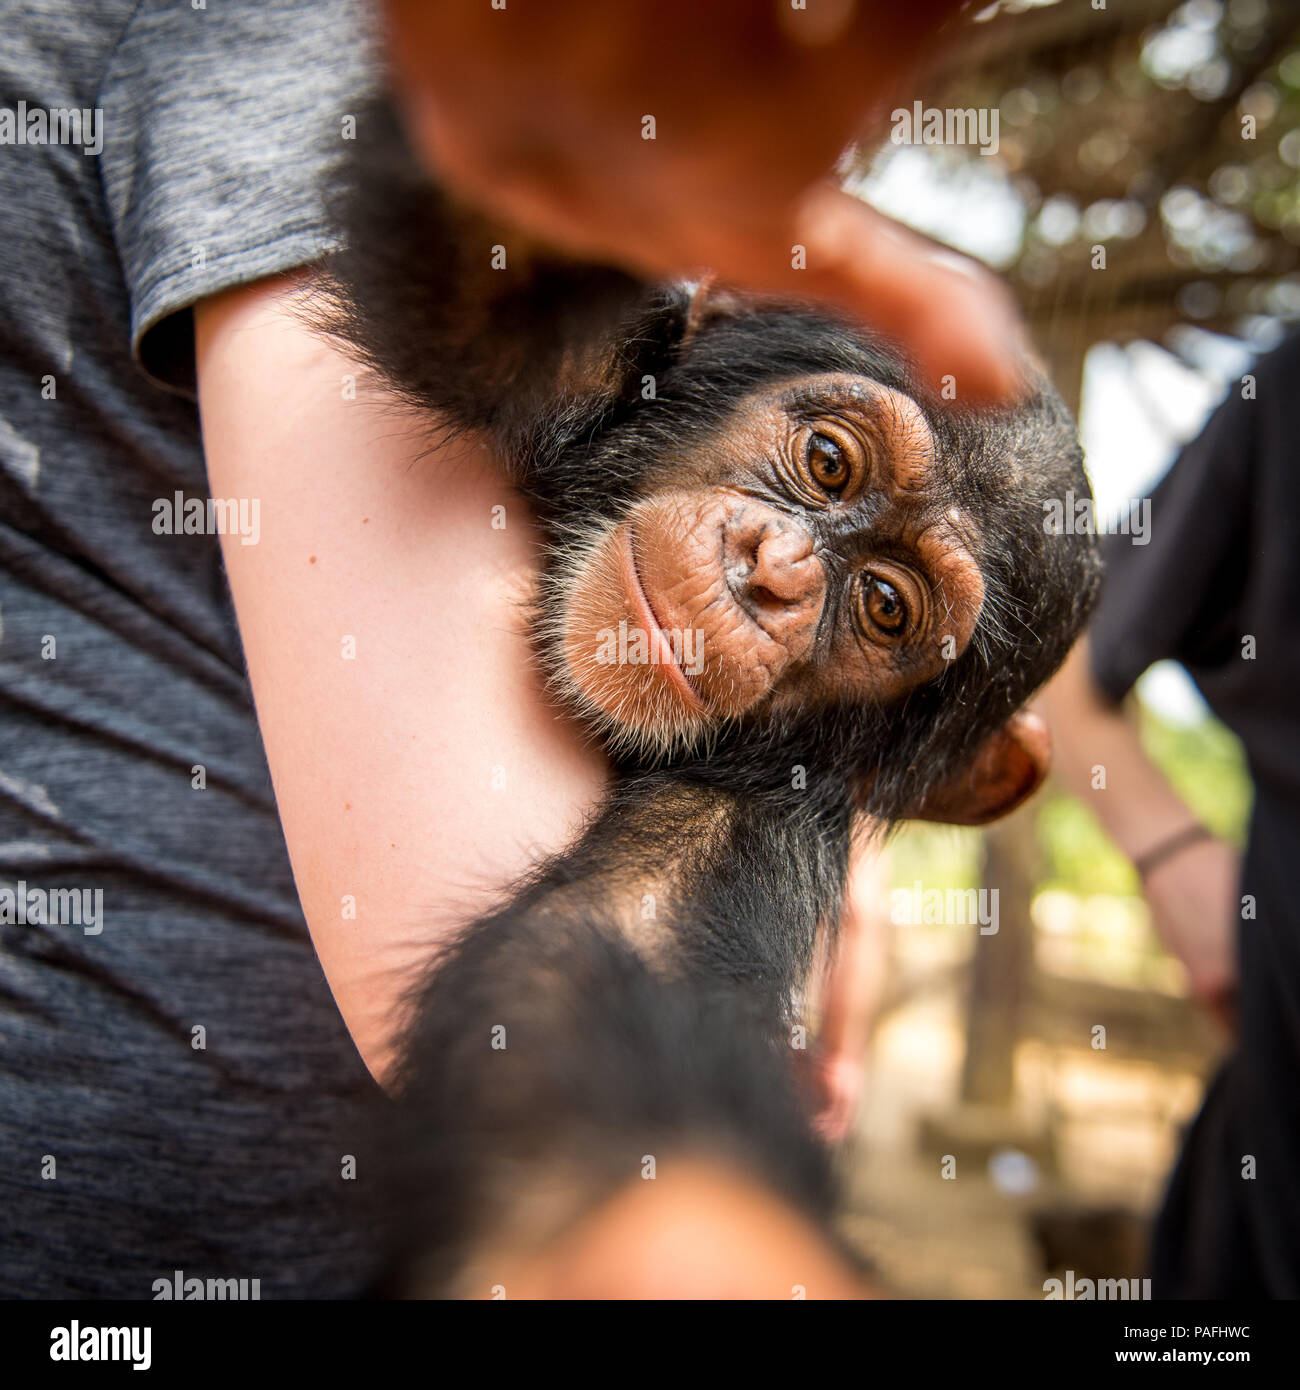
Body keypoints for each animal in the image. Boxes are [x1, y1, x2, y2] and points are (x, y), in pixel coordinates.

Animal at [319, 100, 1101, 1289]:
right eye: (827, 462)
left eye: (884, 605)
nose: (773, 572)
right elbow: (479, 290)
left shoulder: (736, 840)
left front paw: (699, 1237)